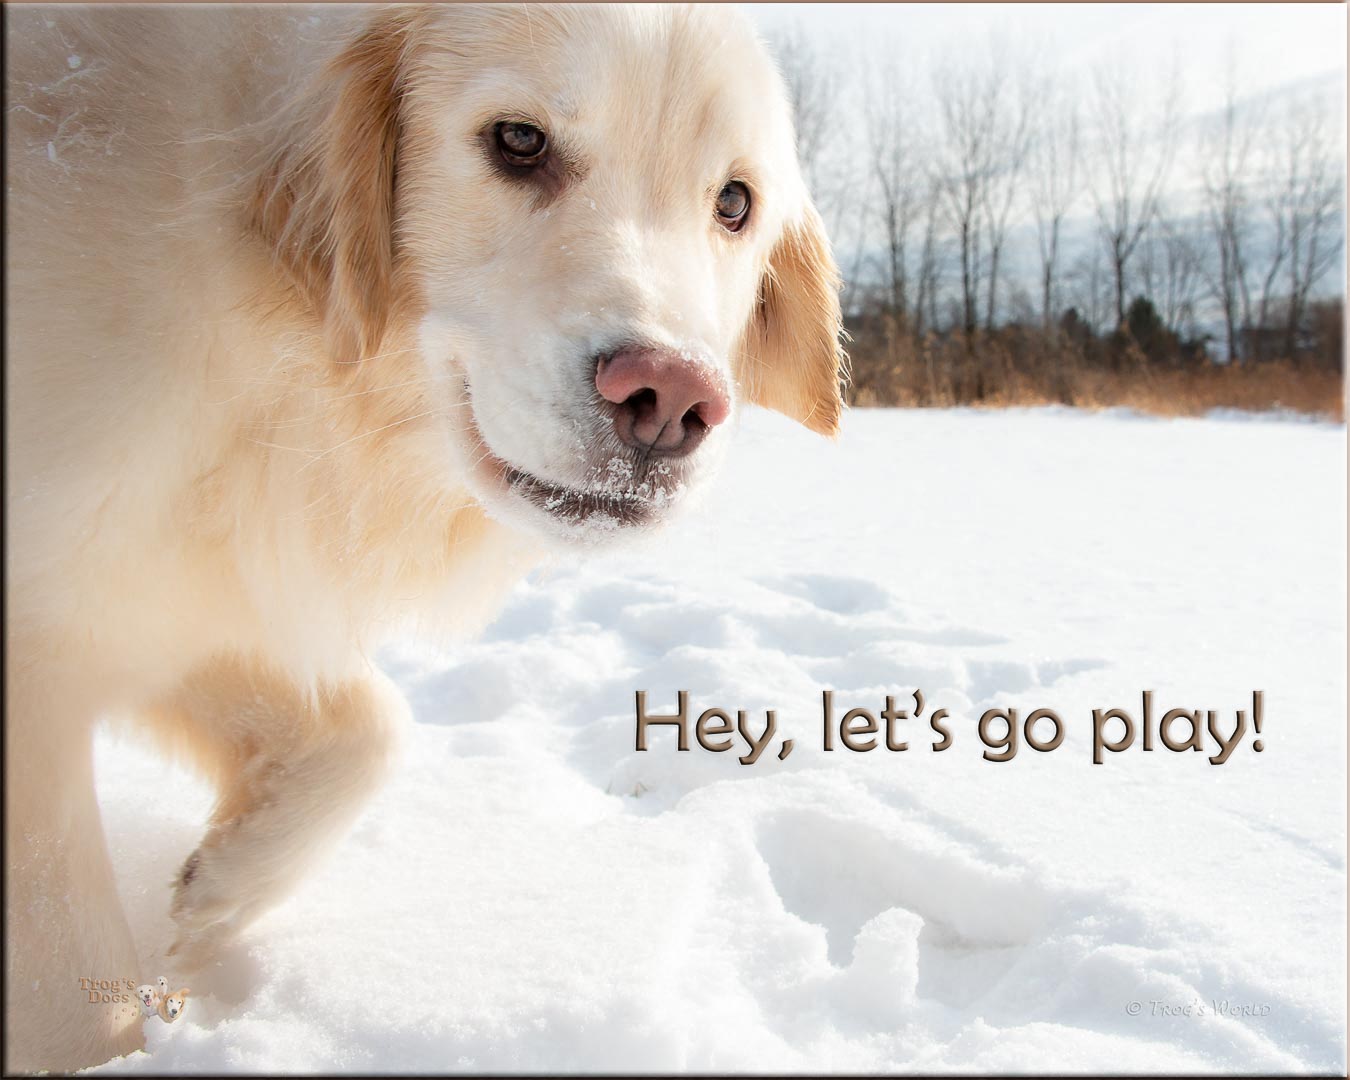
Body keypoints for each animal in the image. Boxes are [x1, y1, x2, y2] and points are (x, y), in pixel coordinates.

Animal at [7, 4, 842, 1069]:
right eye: (519, 141)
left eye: (734, 202)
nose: (670, 400)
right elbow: (76, 991)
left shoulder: (160, 580)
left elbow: (368, 728)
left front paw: (219, 890)